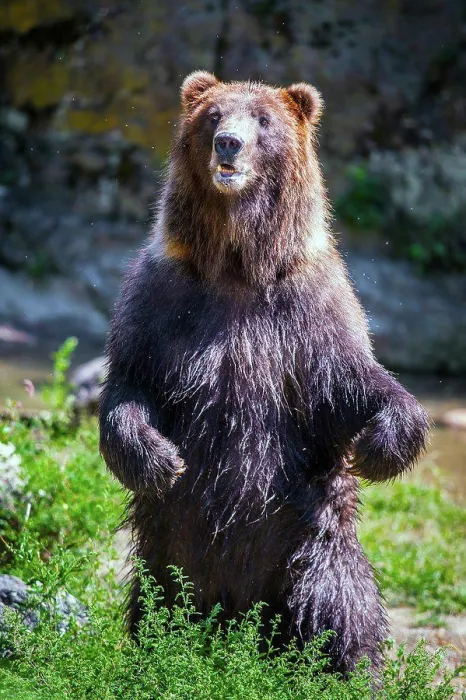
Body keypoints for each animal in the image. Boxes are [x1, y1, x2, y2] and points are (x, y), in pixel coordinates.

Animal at [99, 71, 429, 675]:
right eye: (213, 115)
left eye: (264, 119)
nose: (227, 143)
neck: (237, 266)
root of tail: (241, 625)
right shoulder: (160, 299)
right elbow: (131, 383)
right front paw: (160, 459)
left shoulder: (309, 310)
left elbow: (352, 382)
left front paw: (381, 444)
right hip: (170, 549)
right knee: (159, 600)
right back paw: (160, 652)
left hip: (308, 539)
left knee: (337, 601)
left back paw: (346, 666)